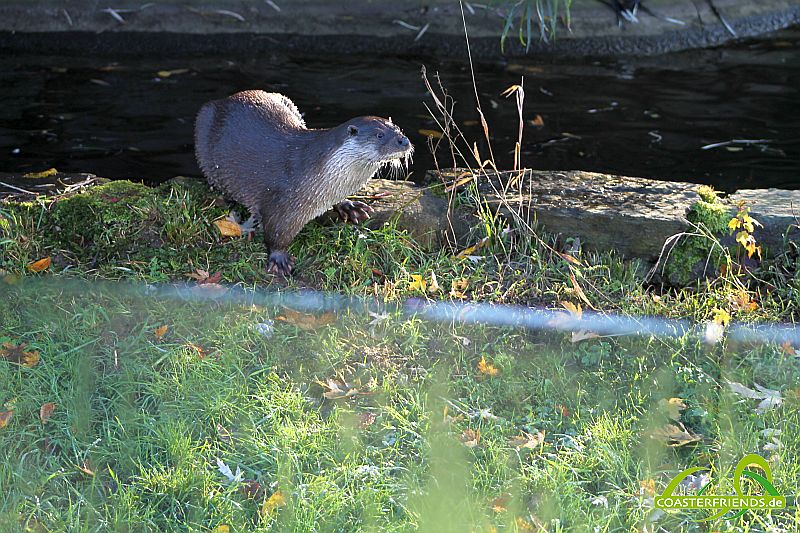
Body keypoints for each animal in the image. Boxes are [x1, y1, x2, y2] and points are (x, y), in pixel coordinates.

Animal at [194, 90, 412, 274]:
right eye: (379, 135)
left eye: (398, 129)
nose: (404, 141)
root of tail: (222, 100)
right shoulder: (282, 203)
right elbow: (275, 233)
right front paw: (279, 259)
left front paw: (349, 206)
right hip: (204, 124)